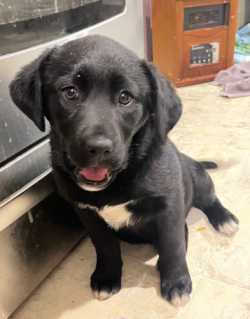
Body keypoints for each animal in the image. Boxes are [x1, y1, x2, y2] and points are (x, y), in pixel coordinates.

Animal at [10, 35, 239, 308]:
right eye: (70, 92)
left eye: (125, 98)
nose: (98, 148)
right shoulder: (87, 214)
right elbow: (105, 247)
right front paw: (107, 277)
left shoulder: (169, 207)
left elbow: (172, 246)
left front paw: (177, 283)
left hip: (200, 180)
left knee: (209, 201)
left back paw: (224, 220)